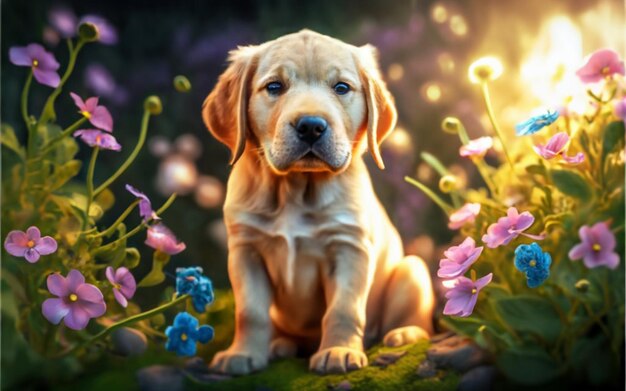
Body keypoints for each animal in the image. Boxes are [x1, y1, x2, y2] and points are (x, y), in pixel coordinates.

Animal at [202, 29, 432, 376]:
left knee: (420, 323)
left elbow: (344, 309)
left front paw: (338, 351)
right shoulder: (245, 251)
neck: (296, 189)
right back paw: (280, 345)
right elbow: (249, 311)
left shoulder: (349, 248)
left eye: (341, 88)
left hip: (413, 270)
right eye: (274, 87)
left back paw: (404, 333)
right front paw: (242, 354)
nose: (311, 125)